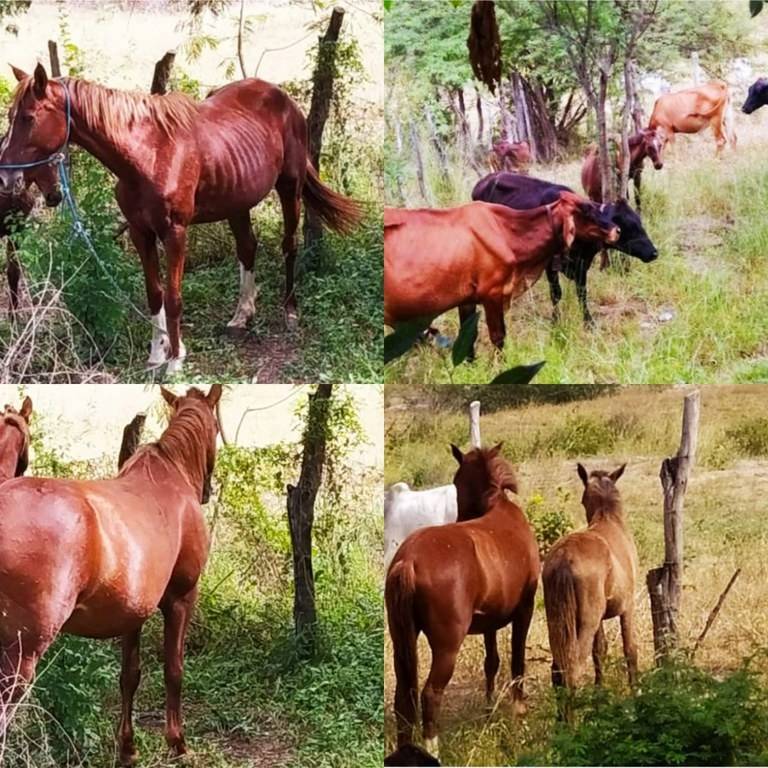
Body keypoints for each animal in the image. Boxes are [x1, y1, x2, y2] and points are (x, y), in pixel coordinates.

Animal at [0, 67, 364, 374]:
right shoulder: (141, 233)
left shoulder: (175, 233)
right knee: (248, 248)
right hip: (237, 201)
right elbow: (154, 293)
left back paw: (289, 311)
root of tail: (283, 98)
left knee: (289, 245)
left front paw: (175, 361)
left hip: (290, 187)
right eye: (11, 116)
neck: (147, 155)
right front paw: (156, 355)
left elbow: (174, 298)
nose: (6, 179)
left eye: (29, 117)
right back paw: (241, 315)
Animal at [0, 388, 222, 764]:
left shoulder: (133, 611)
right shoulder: (181, 599)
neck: (171, 475)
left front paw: (128, 749)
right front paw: (178, 743)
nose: (207, 491)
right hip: (20, 656)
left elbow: (129, 676)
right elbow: (174, 670)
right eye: (217, 427)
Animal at [384, 192, 616, 352]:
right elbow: (498, 337)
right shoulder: (492, 294)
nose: (617, 230)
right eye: (586, 210)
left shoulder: (466, 300)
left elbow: (468, 339)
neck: (505, 232)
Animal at [384, 440, 540, 760]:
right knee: (430, 695)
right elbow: (517, 662)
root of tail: (409, 560)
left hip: (401, 640)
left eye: (458, 482)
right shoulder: (525, 610)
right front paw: (519, 713)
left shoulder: (491, 621)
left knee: (403, 697)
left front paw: (489, 710)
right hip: (447, 647)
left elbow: (491, 662)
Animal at [472, 171, 656, 328]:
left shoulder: (581, 265)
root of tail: (484, 181)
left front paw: (589, 322)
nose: (654, 252)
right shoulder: (550, 265)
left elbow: (582, 294)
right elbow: (556, 294)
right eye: (627, 226)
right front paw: (556, 322)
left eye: (639, 222)